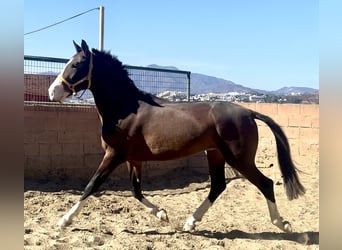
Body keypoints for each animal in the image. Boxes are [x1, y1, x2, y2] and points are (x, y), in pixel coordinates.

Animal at [47, 40, 304, 233]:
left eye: (77, 64)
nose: (52, 92)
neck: (125, 109)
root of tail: (248, 112)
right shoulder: (133, 159)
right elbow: (136, 191)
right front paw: (162, 214)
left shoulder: (114, 155)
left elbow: (92, 185)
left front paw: (64, 220)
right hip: (216, 154)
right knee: (218, 186)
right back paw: (190, 222)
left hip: (239, 159)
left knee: (265, 183)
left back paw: (282, 224)